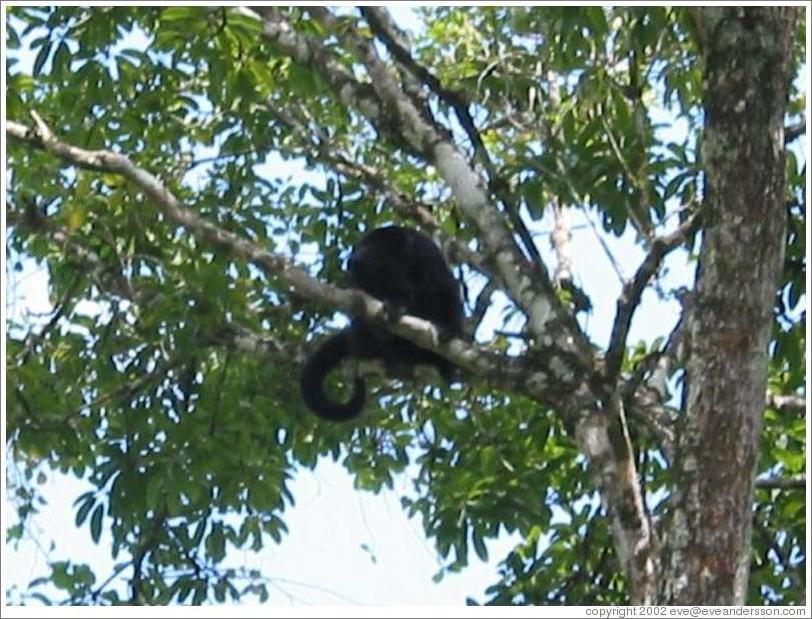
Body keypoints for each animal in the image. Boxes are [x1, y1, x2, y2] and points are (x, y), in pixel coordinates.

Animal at [300, 225, 464, 424]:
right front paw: (394, 306)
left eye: (372, 245)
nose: (354, 258)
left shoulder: (425, 253)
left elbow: (444, 288)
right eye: (359, 246)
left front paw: (448, 330)